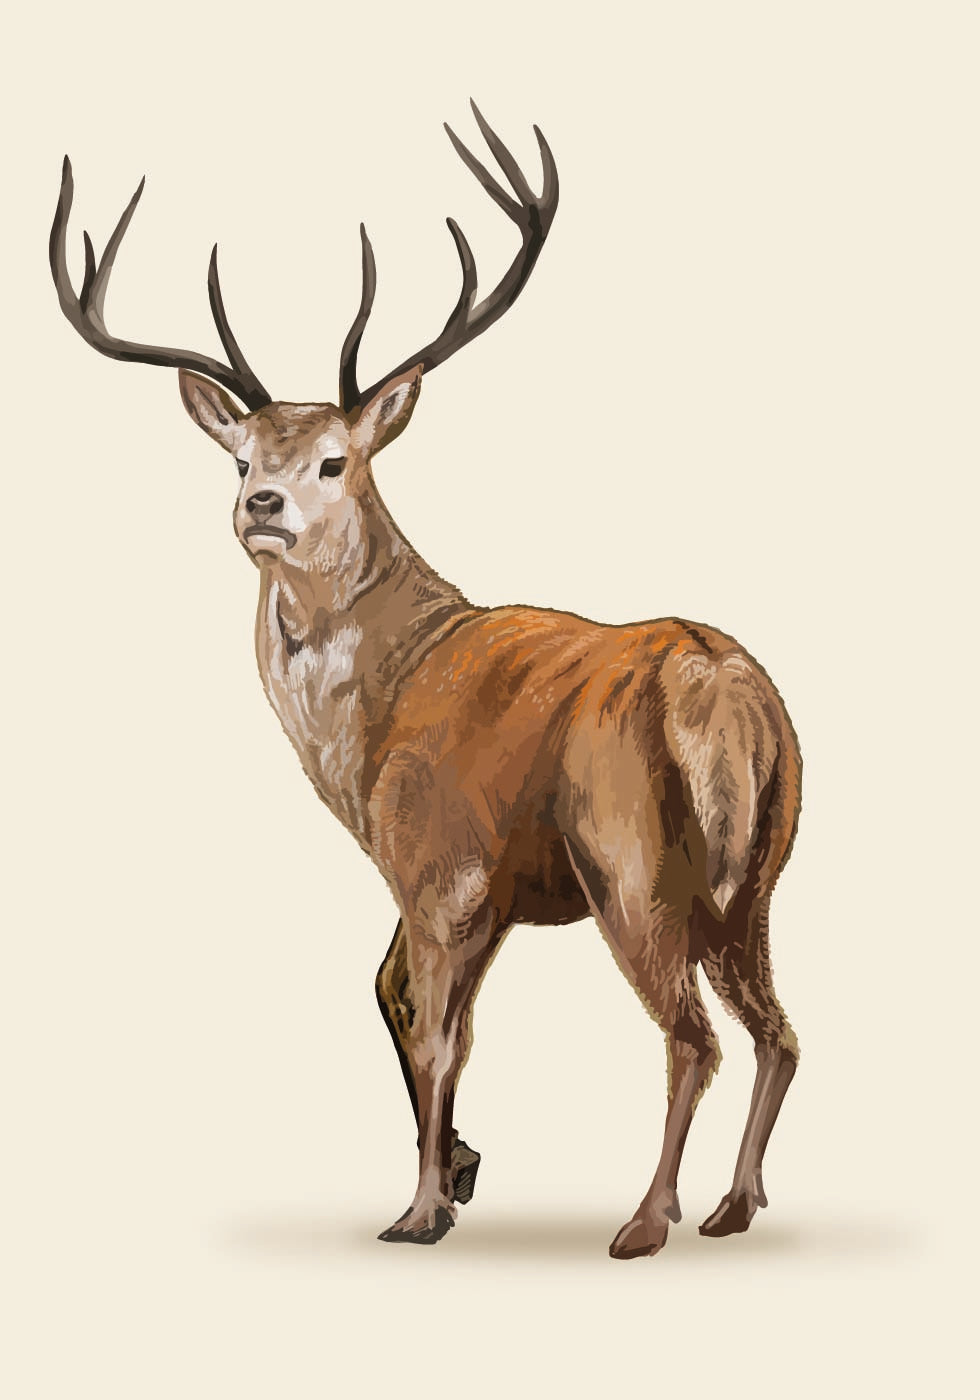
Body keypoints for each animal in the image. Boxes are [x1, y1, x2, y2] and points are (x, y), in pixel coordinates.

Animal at [49, 103, 802, 1260]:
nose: (260, 505)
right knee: (779, 1029)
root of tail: (713, 684)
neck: (366, 732)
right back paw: (733, 1202)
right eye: (239, 457)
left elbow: (434, 1026)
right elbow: (398, 997)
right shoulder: (477, 892)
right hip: (758, 873)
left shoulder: (437, 859)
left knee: (692, 1035)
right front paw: (458, 1168)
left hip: (630, 860)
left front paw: (420, 1207)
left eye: (333, 460)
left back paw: (646, 1217)